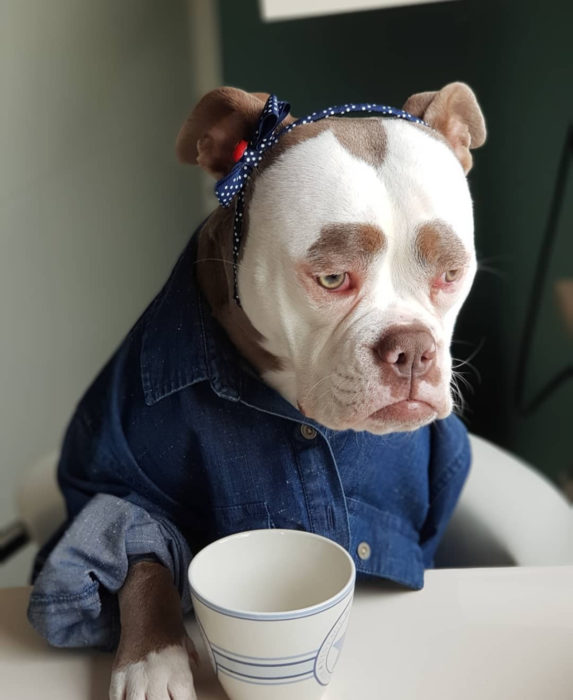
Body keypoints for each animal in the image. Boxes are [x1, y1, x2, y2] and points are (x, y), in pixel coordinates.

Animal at [26, 83, 482, 700]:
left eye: (451, 274)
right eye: (332, 278)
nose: (412, 350)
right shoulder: (117, 474)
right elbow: (138, 554)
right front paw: (152, 659)